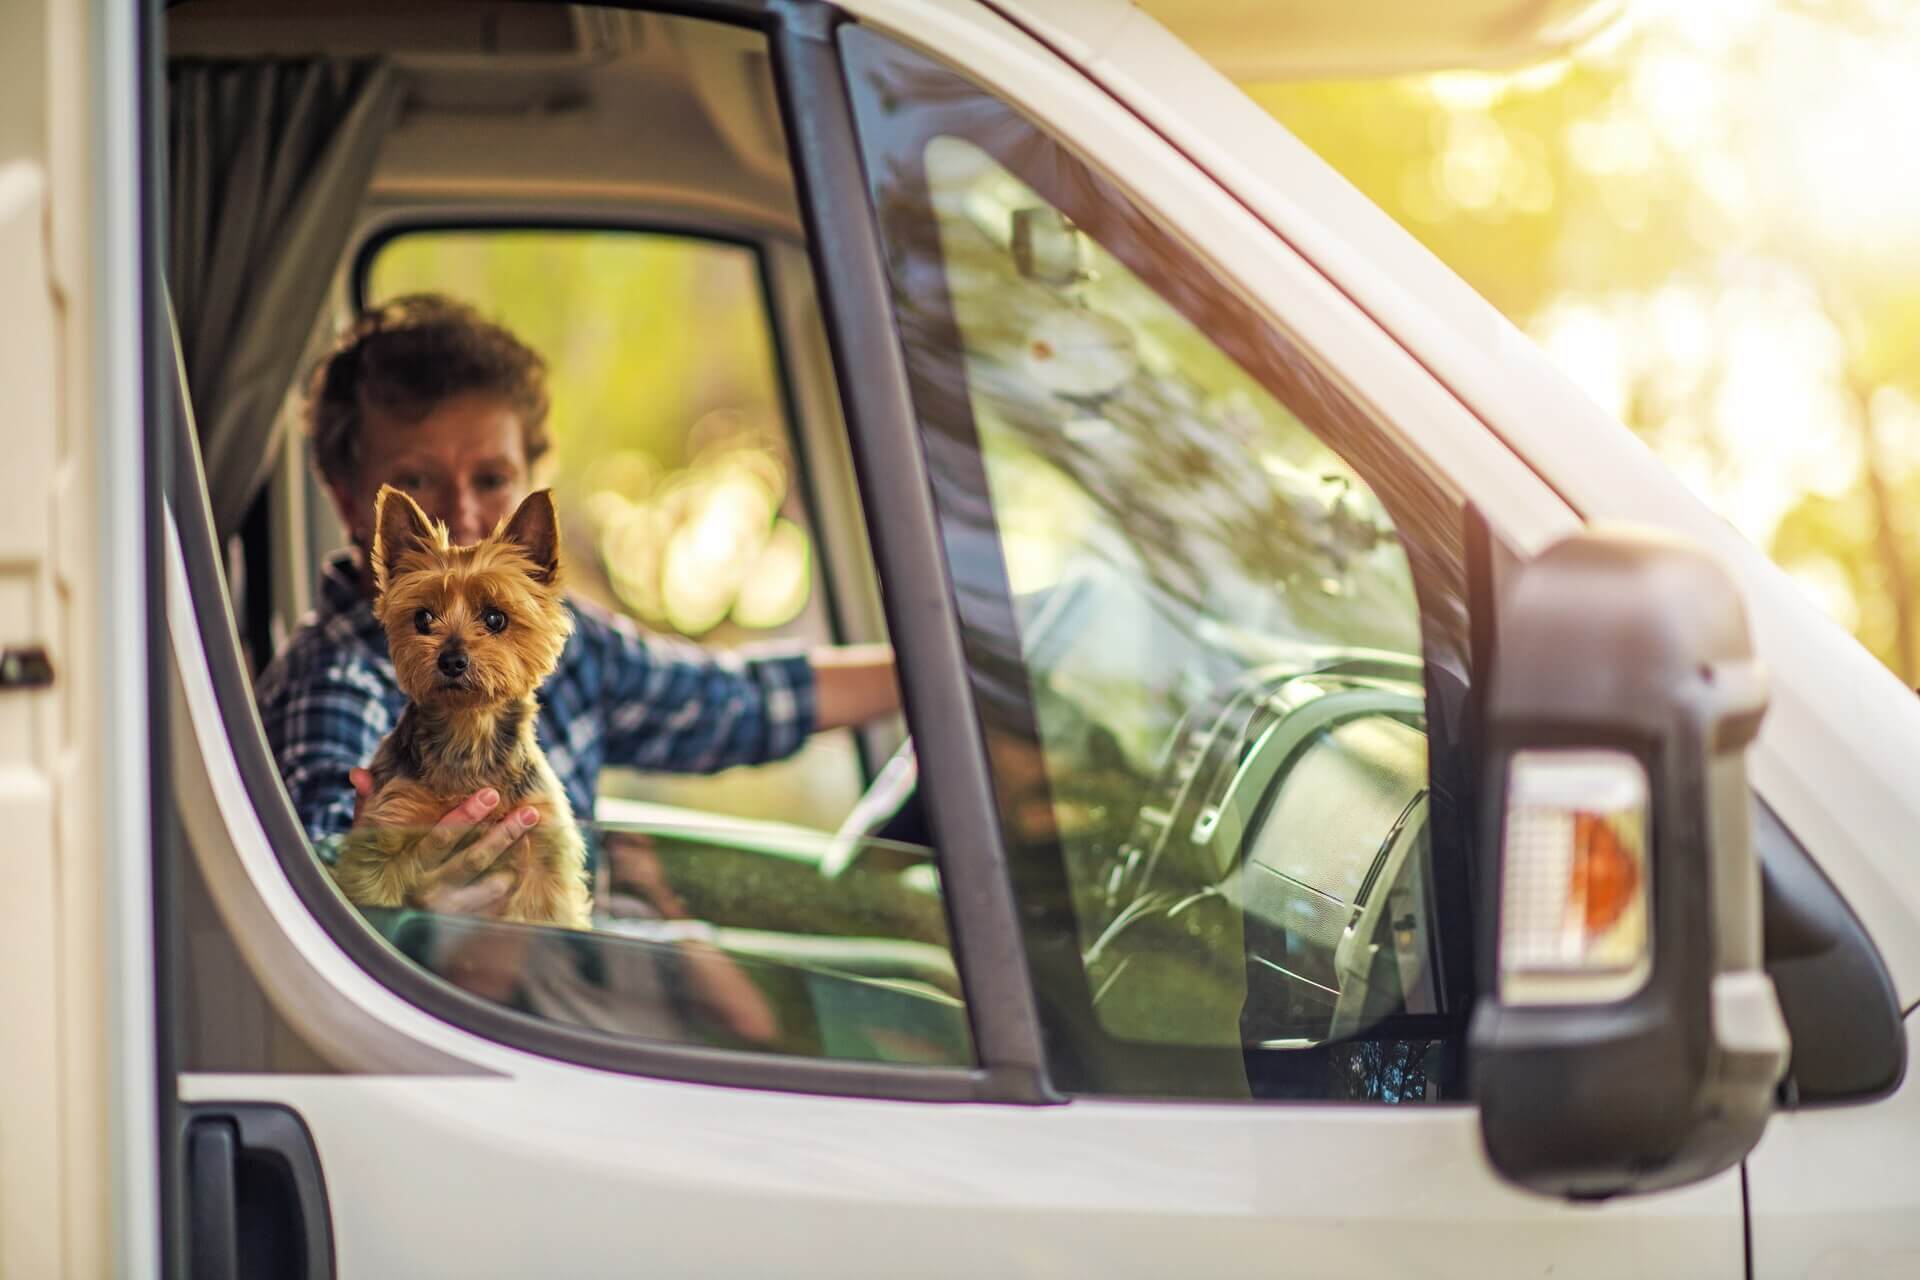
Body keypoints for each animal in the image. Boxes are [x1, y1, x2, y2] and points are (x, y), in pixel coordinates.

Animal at [332, 483, 591, 932]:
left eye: (495, 618)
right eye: (422, 618)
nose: (452, 660)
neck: (469, 729)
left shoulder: (543, 851)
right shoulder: (388, 829)